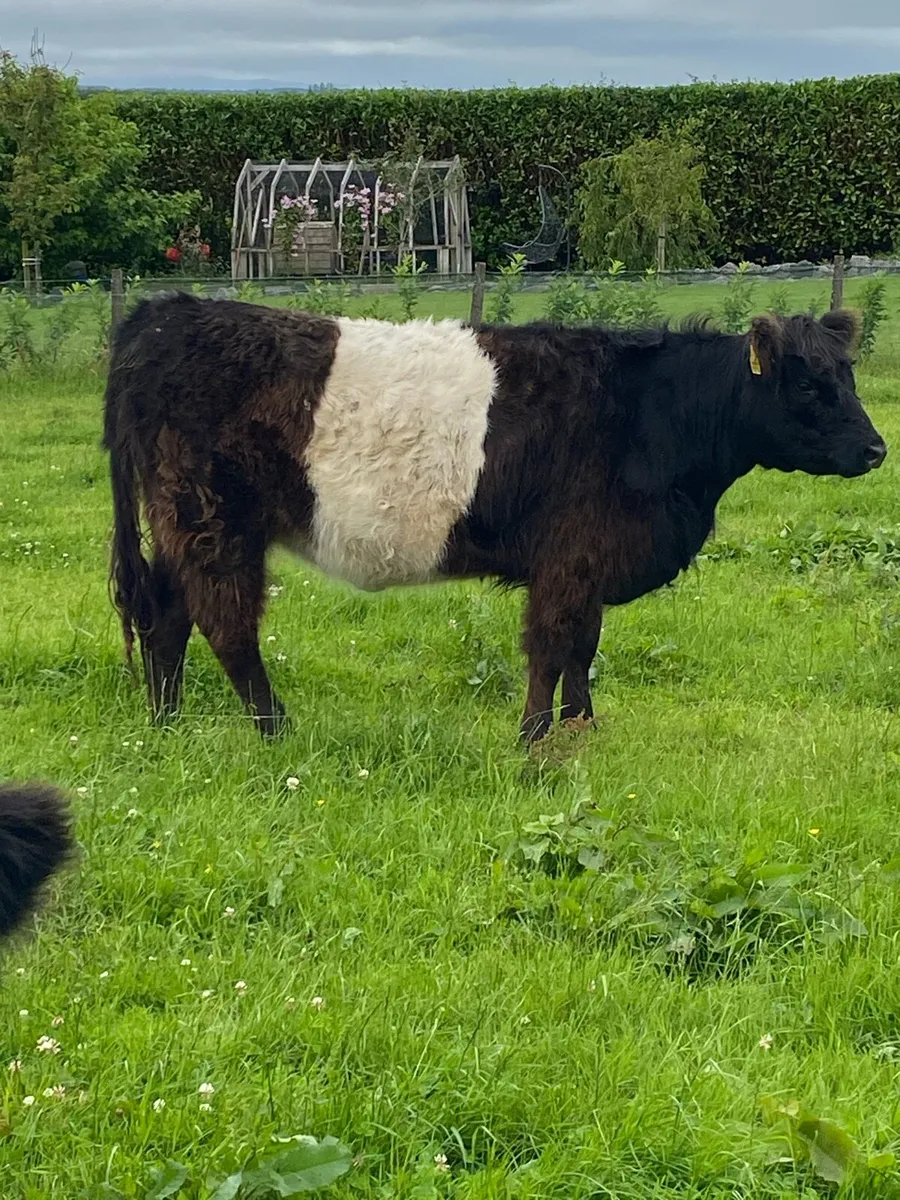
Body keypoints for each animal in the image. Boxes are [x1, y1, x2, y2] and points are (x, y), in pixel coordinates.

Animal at [103, 294, 886, 743]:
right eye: (810, 384)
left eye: (848, 375)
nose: (877, 449)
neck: (651, 414)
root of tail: (166, 312)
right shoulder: (570, 557)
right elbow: (551, 644)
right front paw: (533, 739)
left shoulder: (586, 561)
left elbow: (583, 646)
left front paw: (580, 727)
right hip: (214, 517)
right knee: (226, 624)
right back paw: (274, 730)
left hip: (181, 523)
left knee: (167, 614)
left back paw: (166, 723)